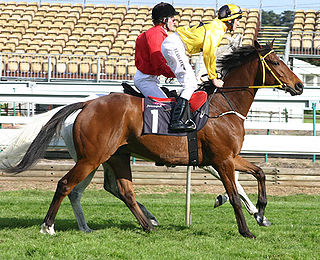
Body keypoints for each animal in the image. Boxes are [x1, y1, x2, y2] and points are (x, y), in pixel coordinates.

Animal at [1, 41, 302, 238]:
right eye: (275, 62)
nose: (299, 85)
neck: (222, 107)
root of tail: (87, 104)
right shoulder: (222, 160)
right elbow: (235, 195)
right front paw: (246, 229)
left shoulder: (229, 157)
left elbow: (260, 173)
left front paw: (261, 211)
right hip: (91, 158)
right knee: (67, 185)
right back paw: (49, 226)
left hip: (116, 157)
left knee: (124, 191)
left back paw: (146, 224)